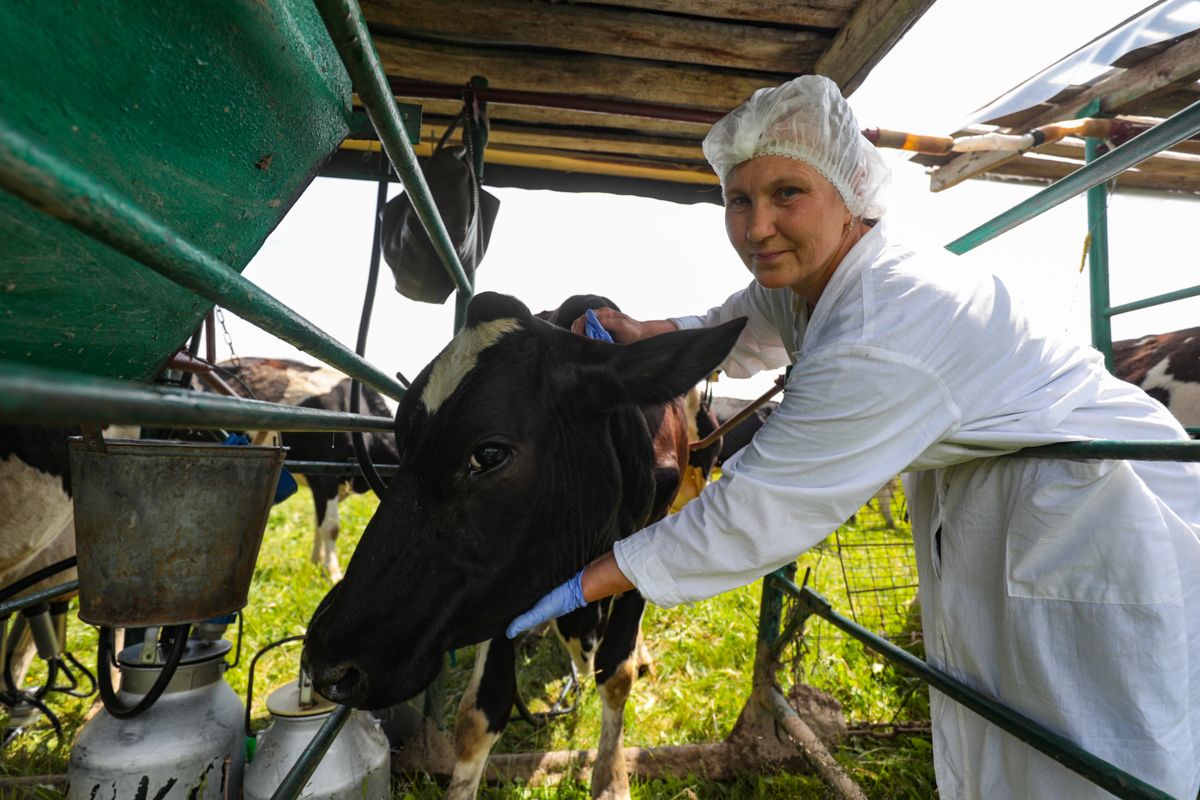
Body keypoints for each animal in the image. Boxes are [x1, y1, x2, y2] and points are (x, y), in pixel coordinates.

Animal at [304, 296, 744, 800]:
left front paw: (611, 777)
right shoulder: (505, 586)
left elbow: (616, 673)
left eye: (489, 454)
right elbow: (482, 711)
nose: (326, 665)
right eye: (401, 441)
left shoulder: (642, 545)